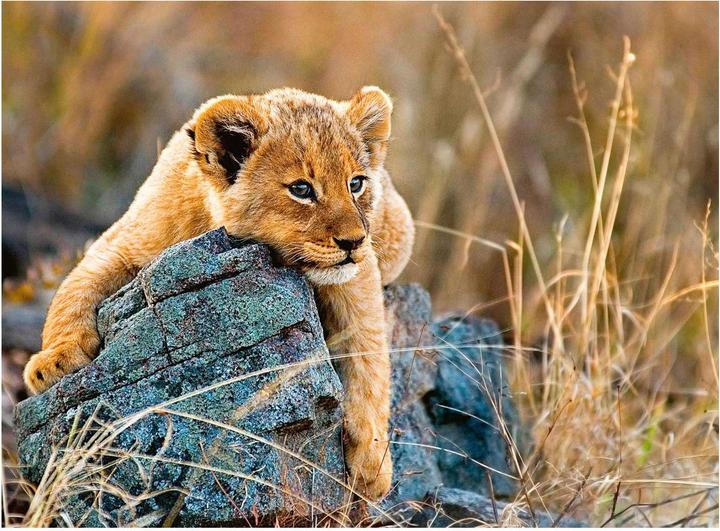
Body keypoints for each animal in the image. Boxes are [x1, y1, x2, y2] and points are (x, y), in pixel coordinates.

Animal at [22, 86, 414, 500]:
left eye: (356, 183)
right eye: (301, 189)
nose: (354, 241)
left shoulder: (357, 276)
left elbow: (369, 356)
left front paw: (372, 462)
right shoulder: (122, 242)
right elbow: (73, 289)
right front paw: (53, 362)